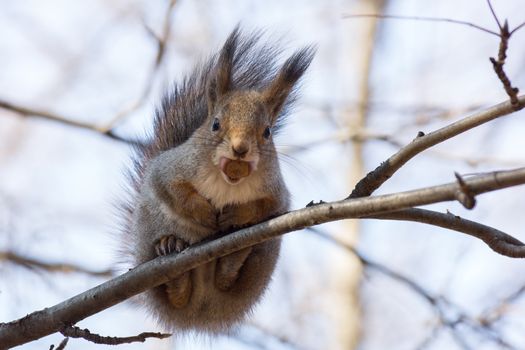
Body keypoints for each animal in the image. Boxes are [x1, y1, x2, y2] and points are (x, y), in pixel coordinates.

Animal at [118, 27, 314, 334]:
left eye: (267, 131)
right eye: (216, 124)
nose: (240, 148)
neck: (227, 182)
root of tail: (201, 314)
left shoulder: (276, 191)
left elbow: (267, 207)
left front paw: (236, 214)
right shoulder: (168, 169)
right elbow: (175, 191)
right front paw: (204, 213)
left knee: (226, 280)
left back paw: (234, 258)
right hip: (148, 231)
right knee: (176, 294)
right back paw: (170, 252)